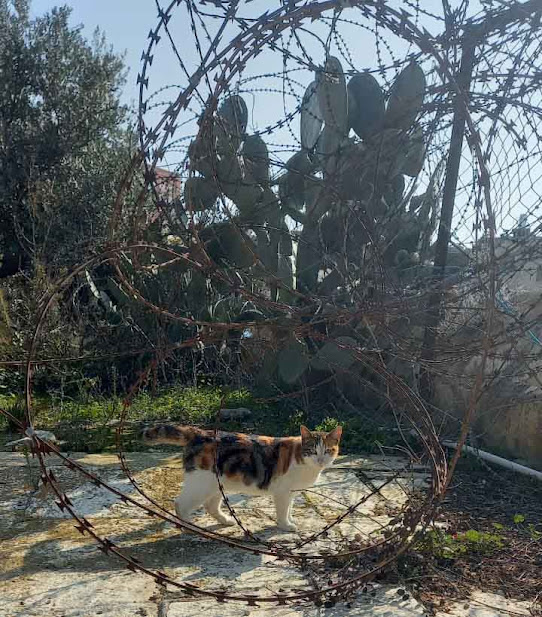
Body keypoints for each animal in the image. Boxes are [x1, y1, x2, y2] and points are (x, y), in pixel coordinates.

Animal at [142, 424, 342, 531]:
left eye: (328, 450)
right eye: (312, 451)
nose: (320, 459)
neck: (301, 459)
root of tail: (199, 433)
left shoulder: (291, 492)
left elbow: (290, 508)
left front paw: (290, 520)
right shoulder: (283, 492)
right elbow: (283, 510)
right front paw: (285, 525)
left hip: (216, 484)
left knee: (210, 506)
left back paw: (225, 520)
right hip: (201, 484)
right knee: (180, 504)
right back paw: (190, 526)